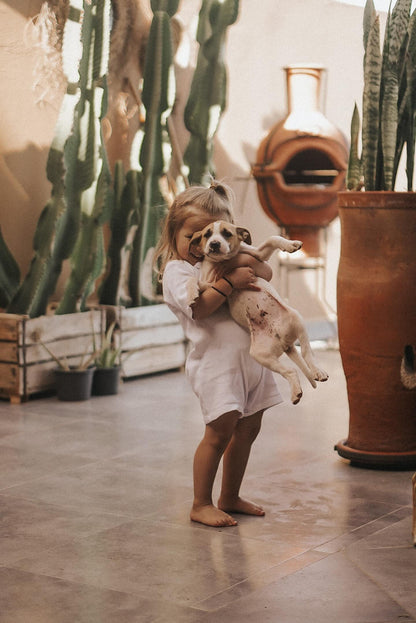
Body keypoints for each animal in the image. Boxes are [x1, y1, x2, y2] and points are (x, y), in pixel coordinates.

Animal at [188, 222, 328, 408]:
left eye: (227, 234)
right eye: (207, 235)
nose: (214, 244)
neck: (222, 262)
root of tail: (282, 340)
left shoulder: (258, 255)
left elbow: (272, 238)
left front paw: (291, 244)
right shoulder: (208, 281)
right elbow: (196, 281)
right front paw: (191, 294)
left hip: (296, 318)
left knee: (307, 353)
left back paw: (318, 372)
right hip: (260, 354)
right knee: (290, 370)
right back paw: (296, 393)